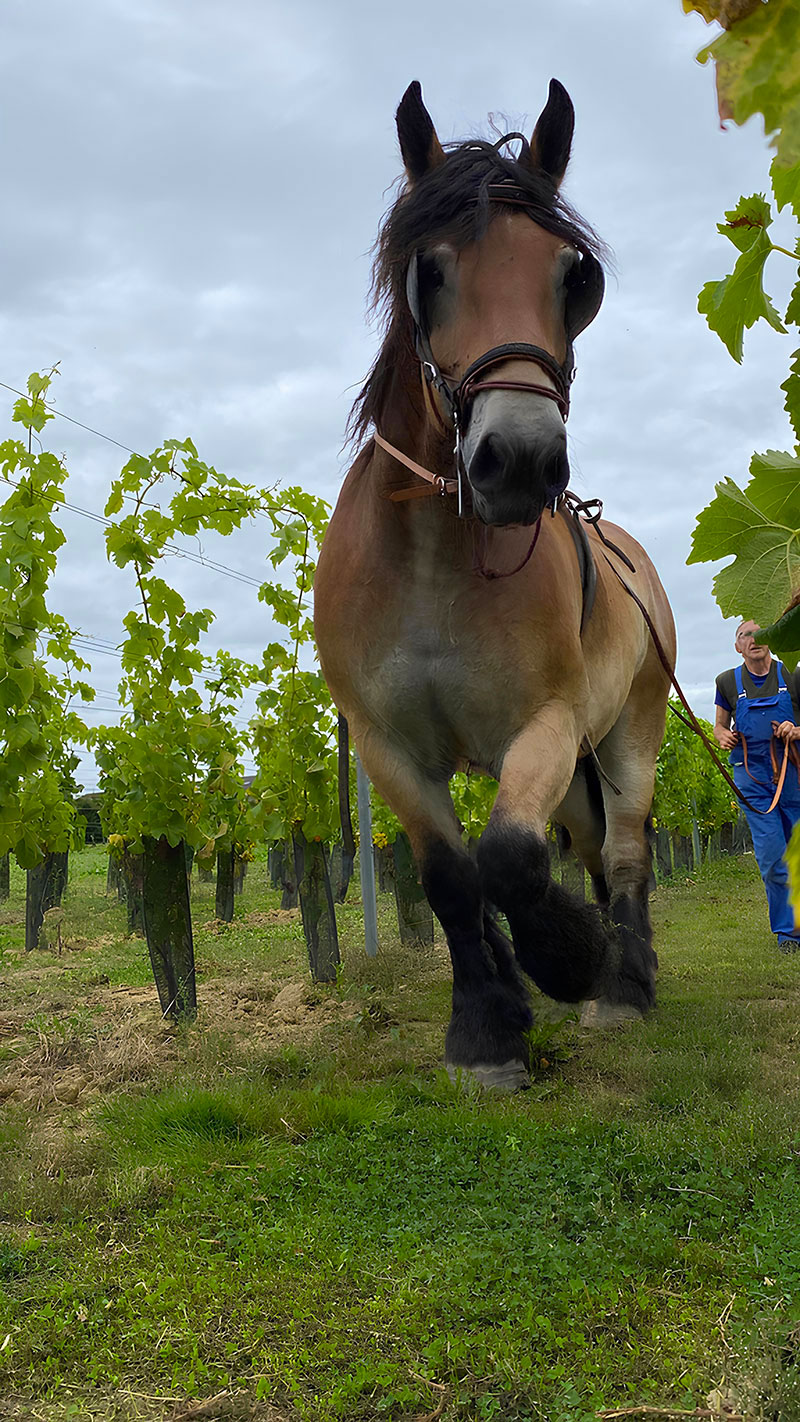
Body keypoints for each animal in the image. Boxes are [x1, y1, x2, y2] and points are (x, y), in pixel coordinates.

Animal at [312, 83, 676, 1092]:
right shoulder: (388, 745)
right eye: (429, 271)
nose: (519, 461)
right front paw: (488, 1022)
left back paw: (622, 980)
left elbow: (511, 858)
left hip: (626, 735)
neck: (434, 560)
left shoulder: (544, 723)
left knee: (623, 852)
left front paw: (567, 959)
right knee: (584, 849)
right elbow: (452, 878)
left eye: (572, 278)